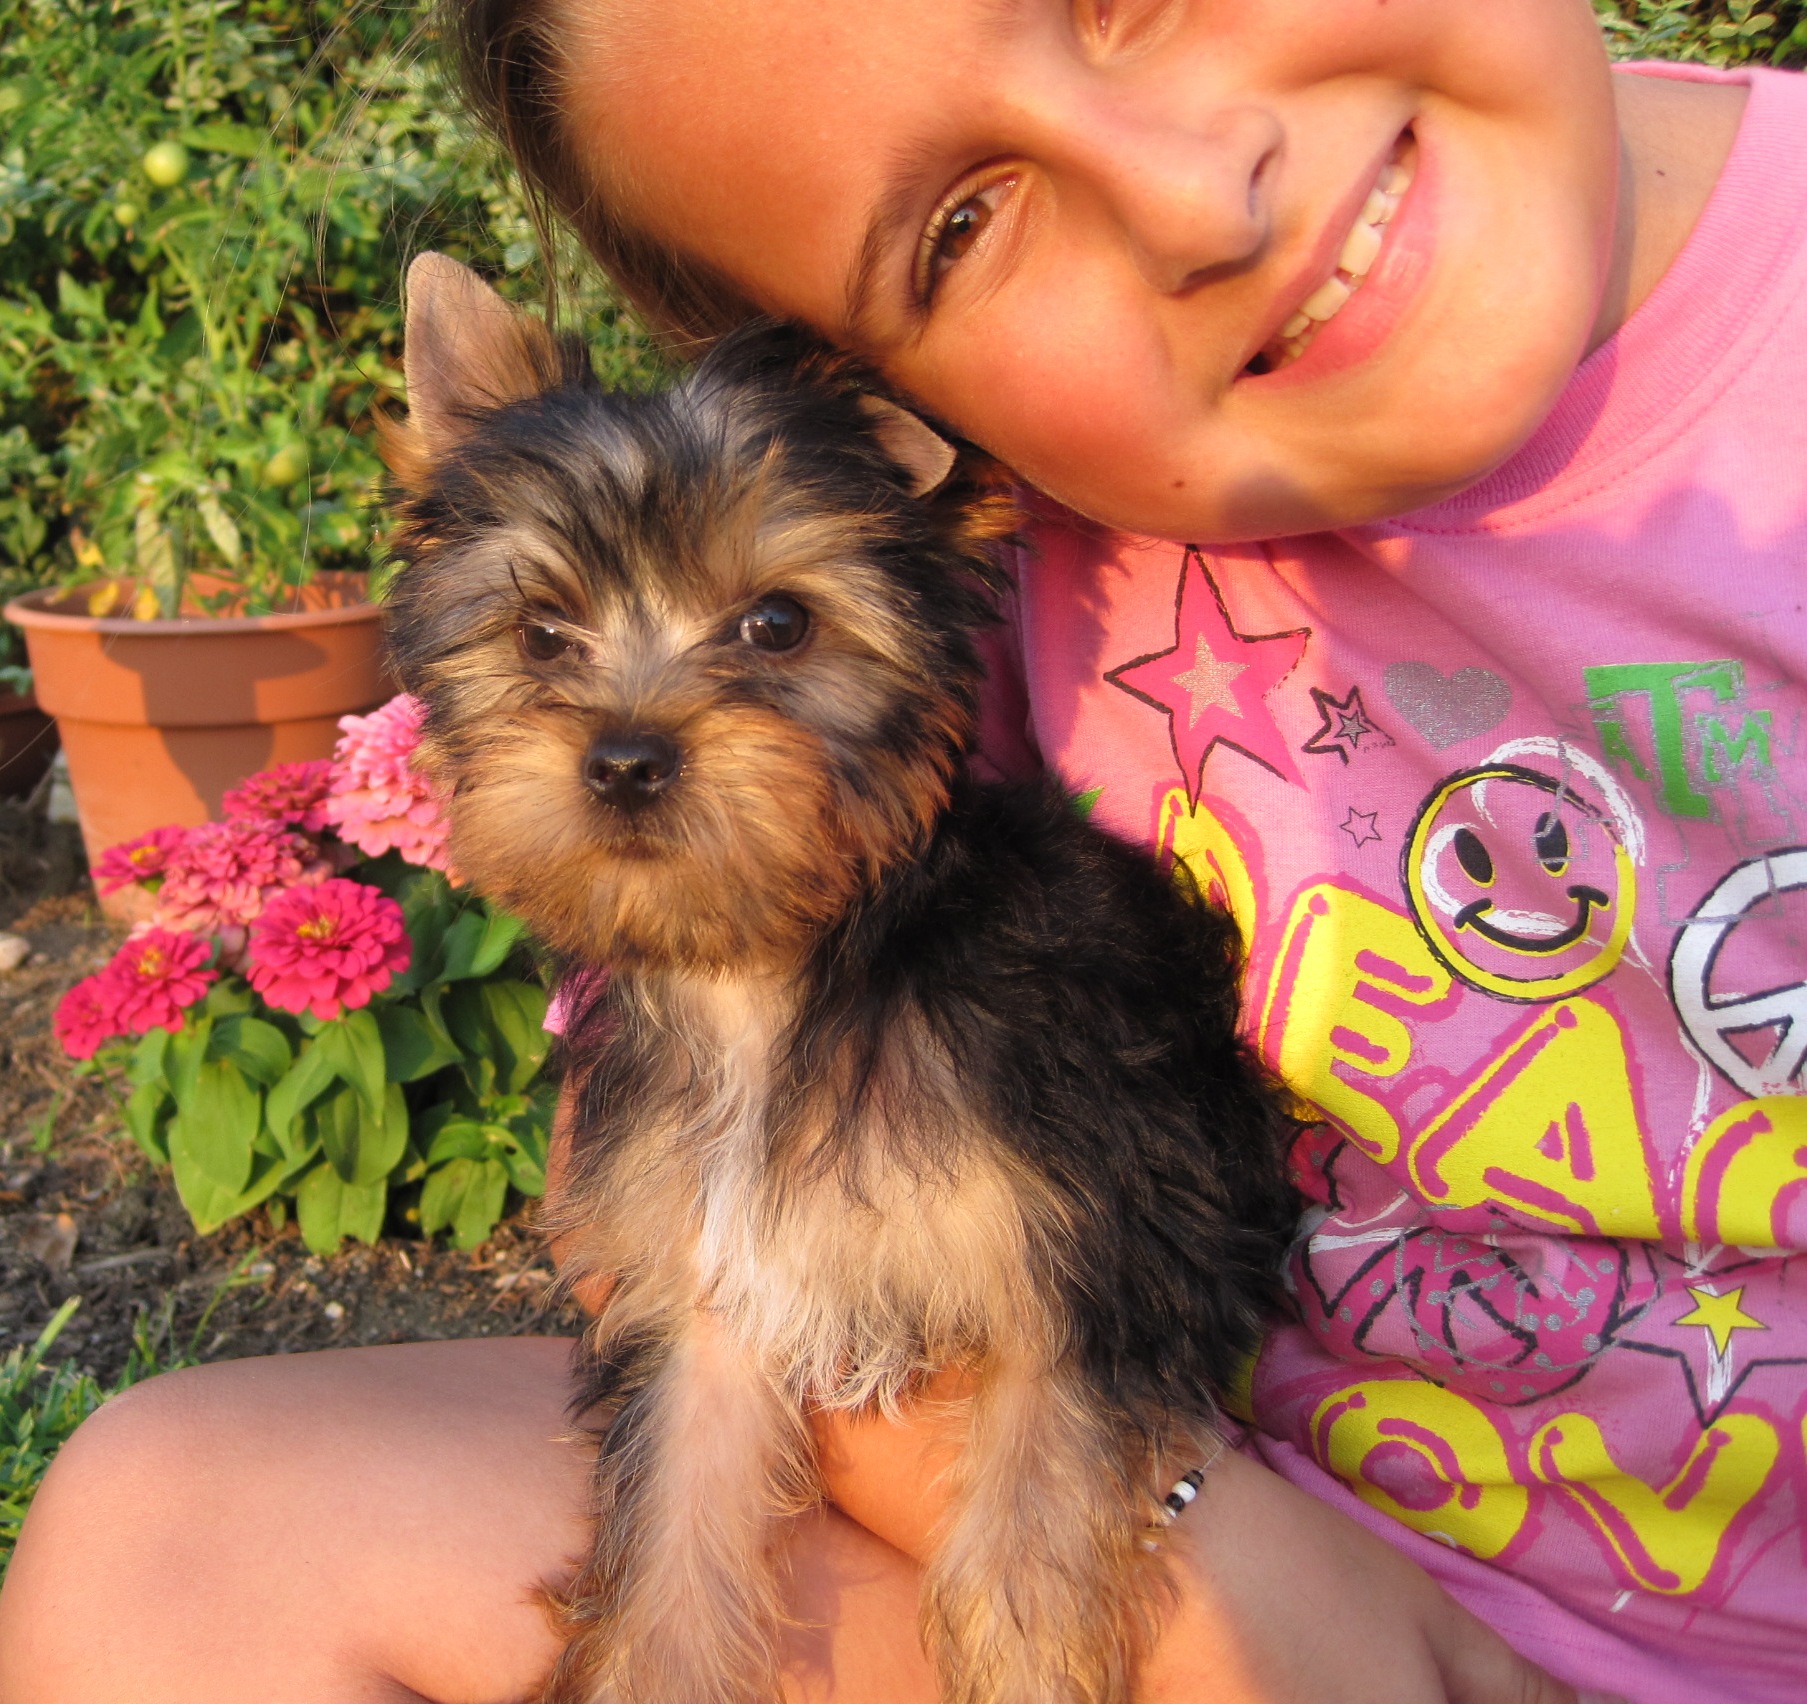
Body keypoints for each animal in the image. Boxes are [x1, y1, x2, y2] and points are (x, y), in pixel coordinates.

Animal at [383, 252, 1298, 1704]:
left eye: (778, 623)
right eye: (540, 634)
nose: (624, 759)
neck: (771, 974)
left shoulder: (1091, 1249)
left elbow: (1030, 1527)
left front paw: (1025, 1663)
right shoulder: (700, 1296)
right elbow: (671, 1545)